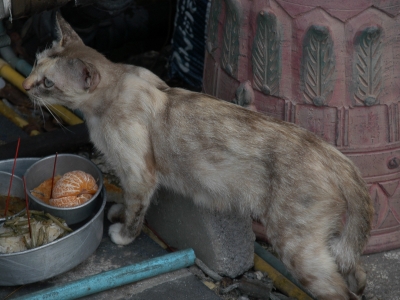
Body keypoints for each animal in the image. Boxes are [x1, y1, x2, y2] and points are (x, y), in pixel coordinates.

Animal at [23, 12, 376, 298]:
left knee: (339, 291)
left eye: (48, 83)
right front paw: (117, 212)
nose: (25, 87)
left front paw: (123, 234)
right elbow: (127, 202)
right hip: (329, 244)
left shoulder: (139, 175)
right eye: (35, 64)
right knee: (356, 272)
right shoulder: (129, 174)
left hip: (295, 245)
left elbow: (136, 212)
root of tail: (332, 153)